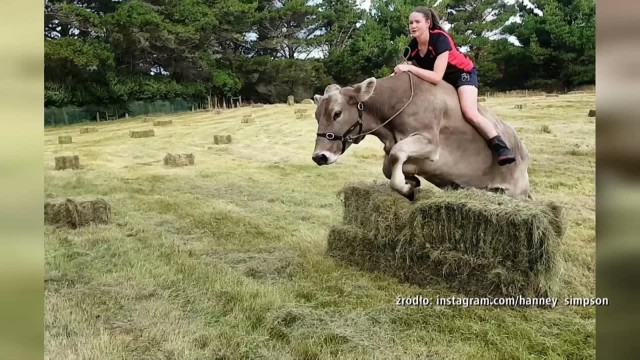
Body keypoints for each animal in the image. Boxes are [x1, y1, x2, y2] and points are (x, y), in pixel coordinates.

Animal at [312, 71, 532, 201]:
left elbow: (396, 155)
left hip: (515, 192)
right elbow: (389, 166)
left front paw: (407, 188)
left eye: (337, 113)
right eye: (316, 116)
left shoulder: (430, 143)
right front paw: (411, 180)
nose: (319, 156)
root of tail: (522, 149)